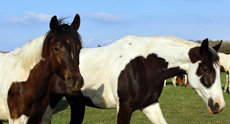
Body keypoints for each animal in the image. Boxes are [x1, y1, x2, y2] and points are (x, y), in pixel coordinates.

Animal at [43, 35, 225, 124]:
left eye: (218, 69)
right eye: (206, 69)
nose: (219, 105)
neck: (144, 64)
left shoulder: (150, 105)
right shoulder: (124, 108)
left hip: (77, 103)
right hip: (50, 102)